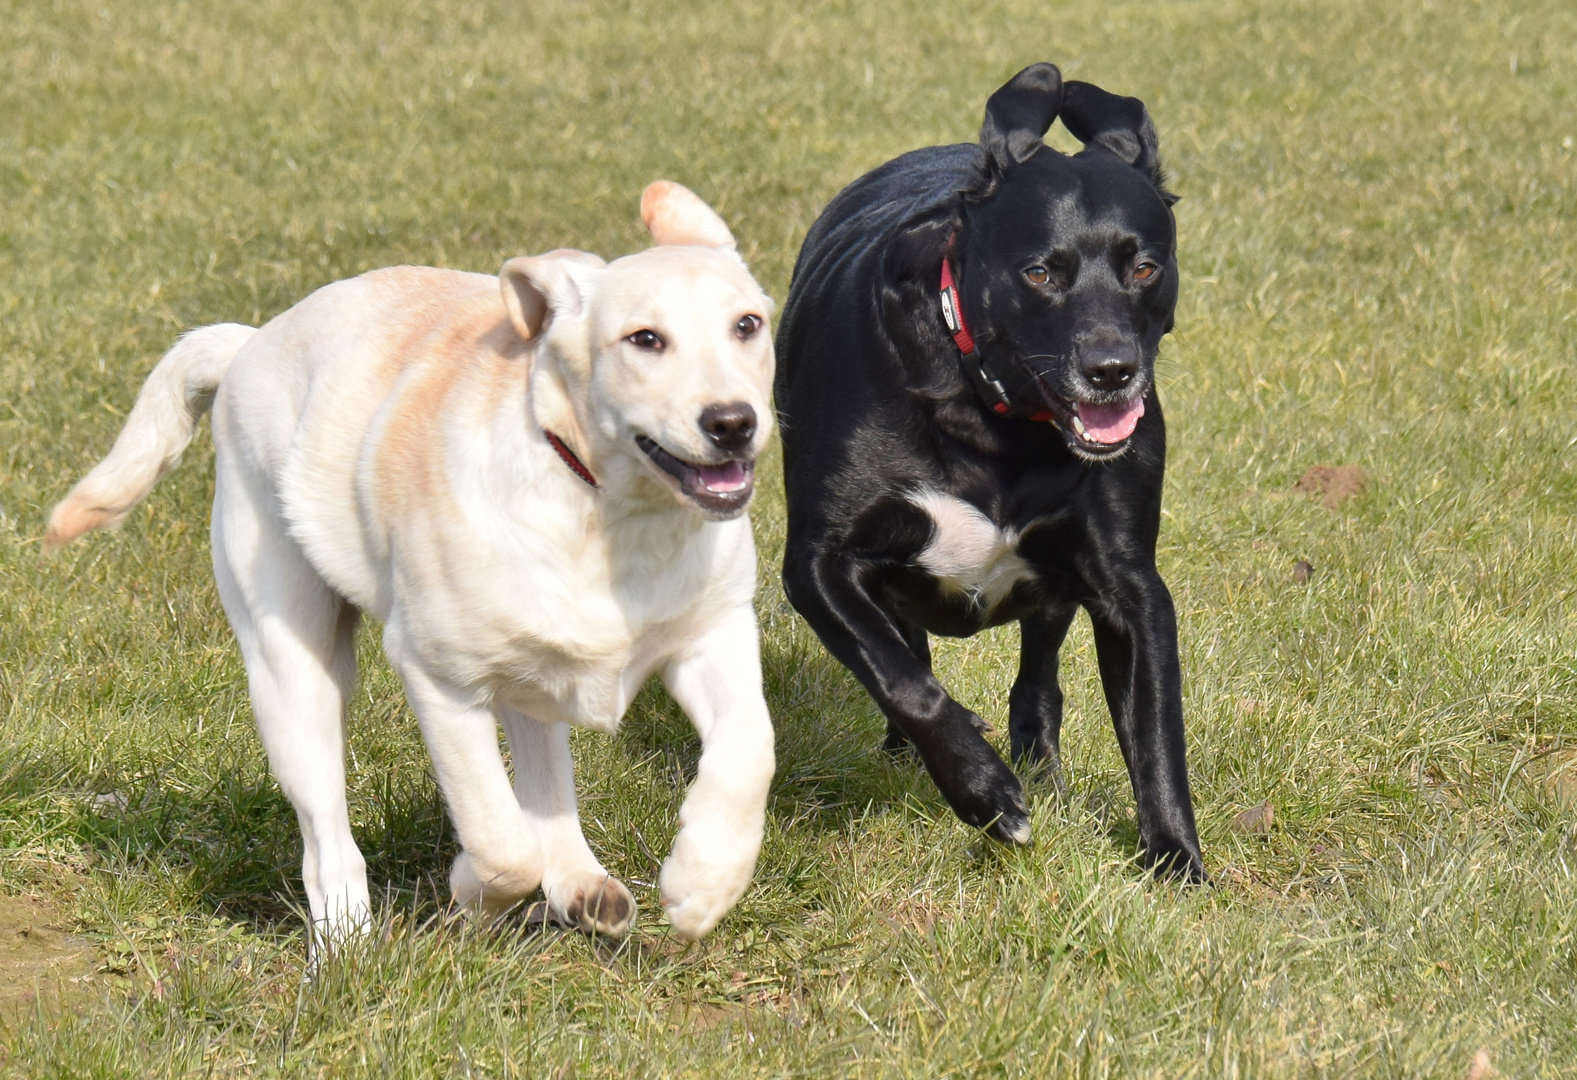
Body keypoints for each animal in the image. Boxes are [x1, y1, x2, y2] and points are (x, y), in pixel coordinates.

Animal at [52, 182, 779, 945]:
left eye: (747, 325)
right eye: (644, 339)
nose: (733, 422)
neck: (607, 511)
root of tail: (251, 342)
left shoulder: (713, 634)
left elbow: (751, 748)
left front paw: (705, 881)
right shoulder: (439, 680)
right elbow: (499, 841)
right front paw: (468, 891)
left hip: (525, 665)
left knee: (543, 761)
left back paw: (580, 882)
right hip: (294, 671)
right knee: (328, 834)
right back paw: (346, 942)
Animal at [775, 63, 1204, 882]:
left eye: (1144, 266)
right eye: (1040, 272)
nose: (1112, 371)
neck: (995, 425)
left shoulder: (1130, 588)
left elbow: (1156, 732)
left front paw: (1175, 860)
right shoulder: (819, 562)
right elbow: (902, 679)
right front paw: (983, 791)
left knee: (1038, 678)